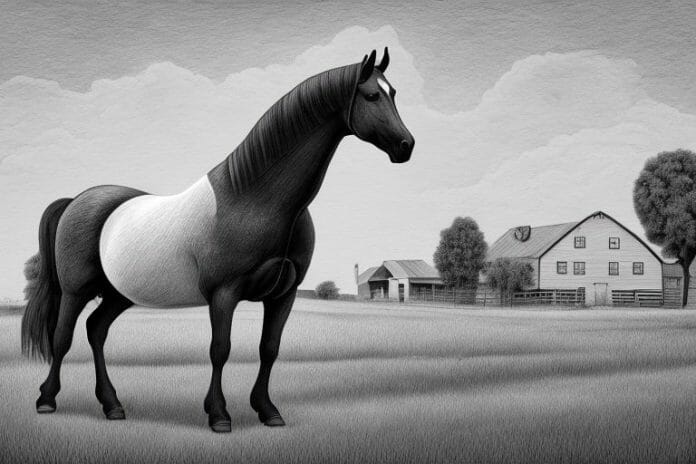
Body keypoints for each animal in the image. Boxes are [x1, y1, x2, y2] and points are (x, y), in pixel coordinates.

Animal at [20, 48, 414, 433]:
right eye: (372, 95)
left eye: (394, 92)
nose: (406, 145)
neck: (254, 199)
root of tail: (77, 200)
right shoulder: (224, 293)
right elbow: (220, 349)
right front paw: (219, 415)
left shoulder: (283, 294)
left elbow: (269, 348)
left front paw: (268, 411)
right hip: (75, 290)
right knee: (63, 337)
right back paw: (47, 400)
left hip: (119, 293)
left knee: (96, 330)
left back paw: (113, 406)